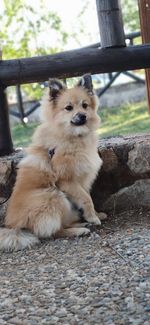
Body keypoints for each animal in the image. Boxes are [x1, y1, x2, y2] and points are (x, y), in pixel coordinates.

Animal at [0, 74, 105, 251]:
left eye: (85, 105)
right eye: (68, 108)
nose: (82, 116)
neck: (73, 137)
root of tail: (15, 227)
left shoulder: (82, 180)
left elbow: (87, 198)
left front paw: (95, 215)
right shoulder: (67, 181)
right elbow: (86, 199)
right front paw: (93, 218)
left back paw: (79, 224)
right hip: (53, 195)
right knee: (53, 232)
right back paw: (79, 230)